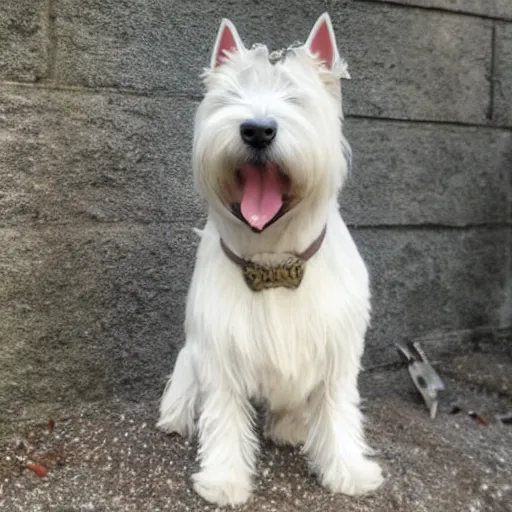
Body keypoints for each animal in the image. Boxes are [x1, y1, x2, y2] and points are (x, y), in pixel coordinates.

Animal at [158, 13, 382, 508]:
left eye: (296, 99)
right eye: (230, 98)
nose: (257, 129)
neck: (274, 258)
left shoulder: (337, 352)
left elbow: (338, 410)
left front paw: (348, 470)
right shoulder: (219, 351)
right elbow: (223, 414)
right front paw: (224, 479)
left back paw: (291, 429)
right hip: (190, 359)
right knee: (185, 389)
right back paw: (175, 416)